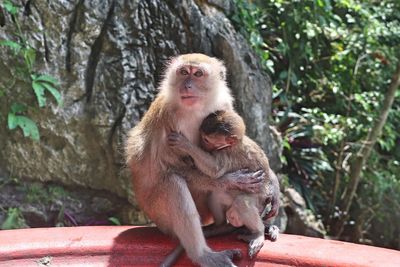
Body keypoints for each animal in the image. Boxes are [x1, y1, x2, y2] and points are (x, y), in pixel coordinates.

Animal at [125, 53, 264, 266]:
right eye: (184, 72)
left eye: (197, 74)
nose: (187, 85)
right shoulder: (168, 118)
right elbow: (170, 167)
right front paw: (229, 180)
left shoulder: (223, 105)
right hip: (160, 216)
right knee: (173, 184)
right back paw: (203, 254)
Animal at [168, 110, 278, 258]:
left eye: (206, 139)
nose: (202, 145)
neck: (236, 142)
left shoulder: (226, 154)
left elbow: (214, 169)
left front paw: (185, 144)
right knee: (217, 194)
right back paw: (220, 225)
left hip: (259, 201)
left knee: (242, 203)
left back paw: (258, 233)